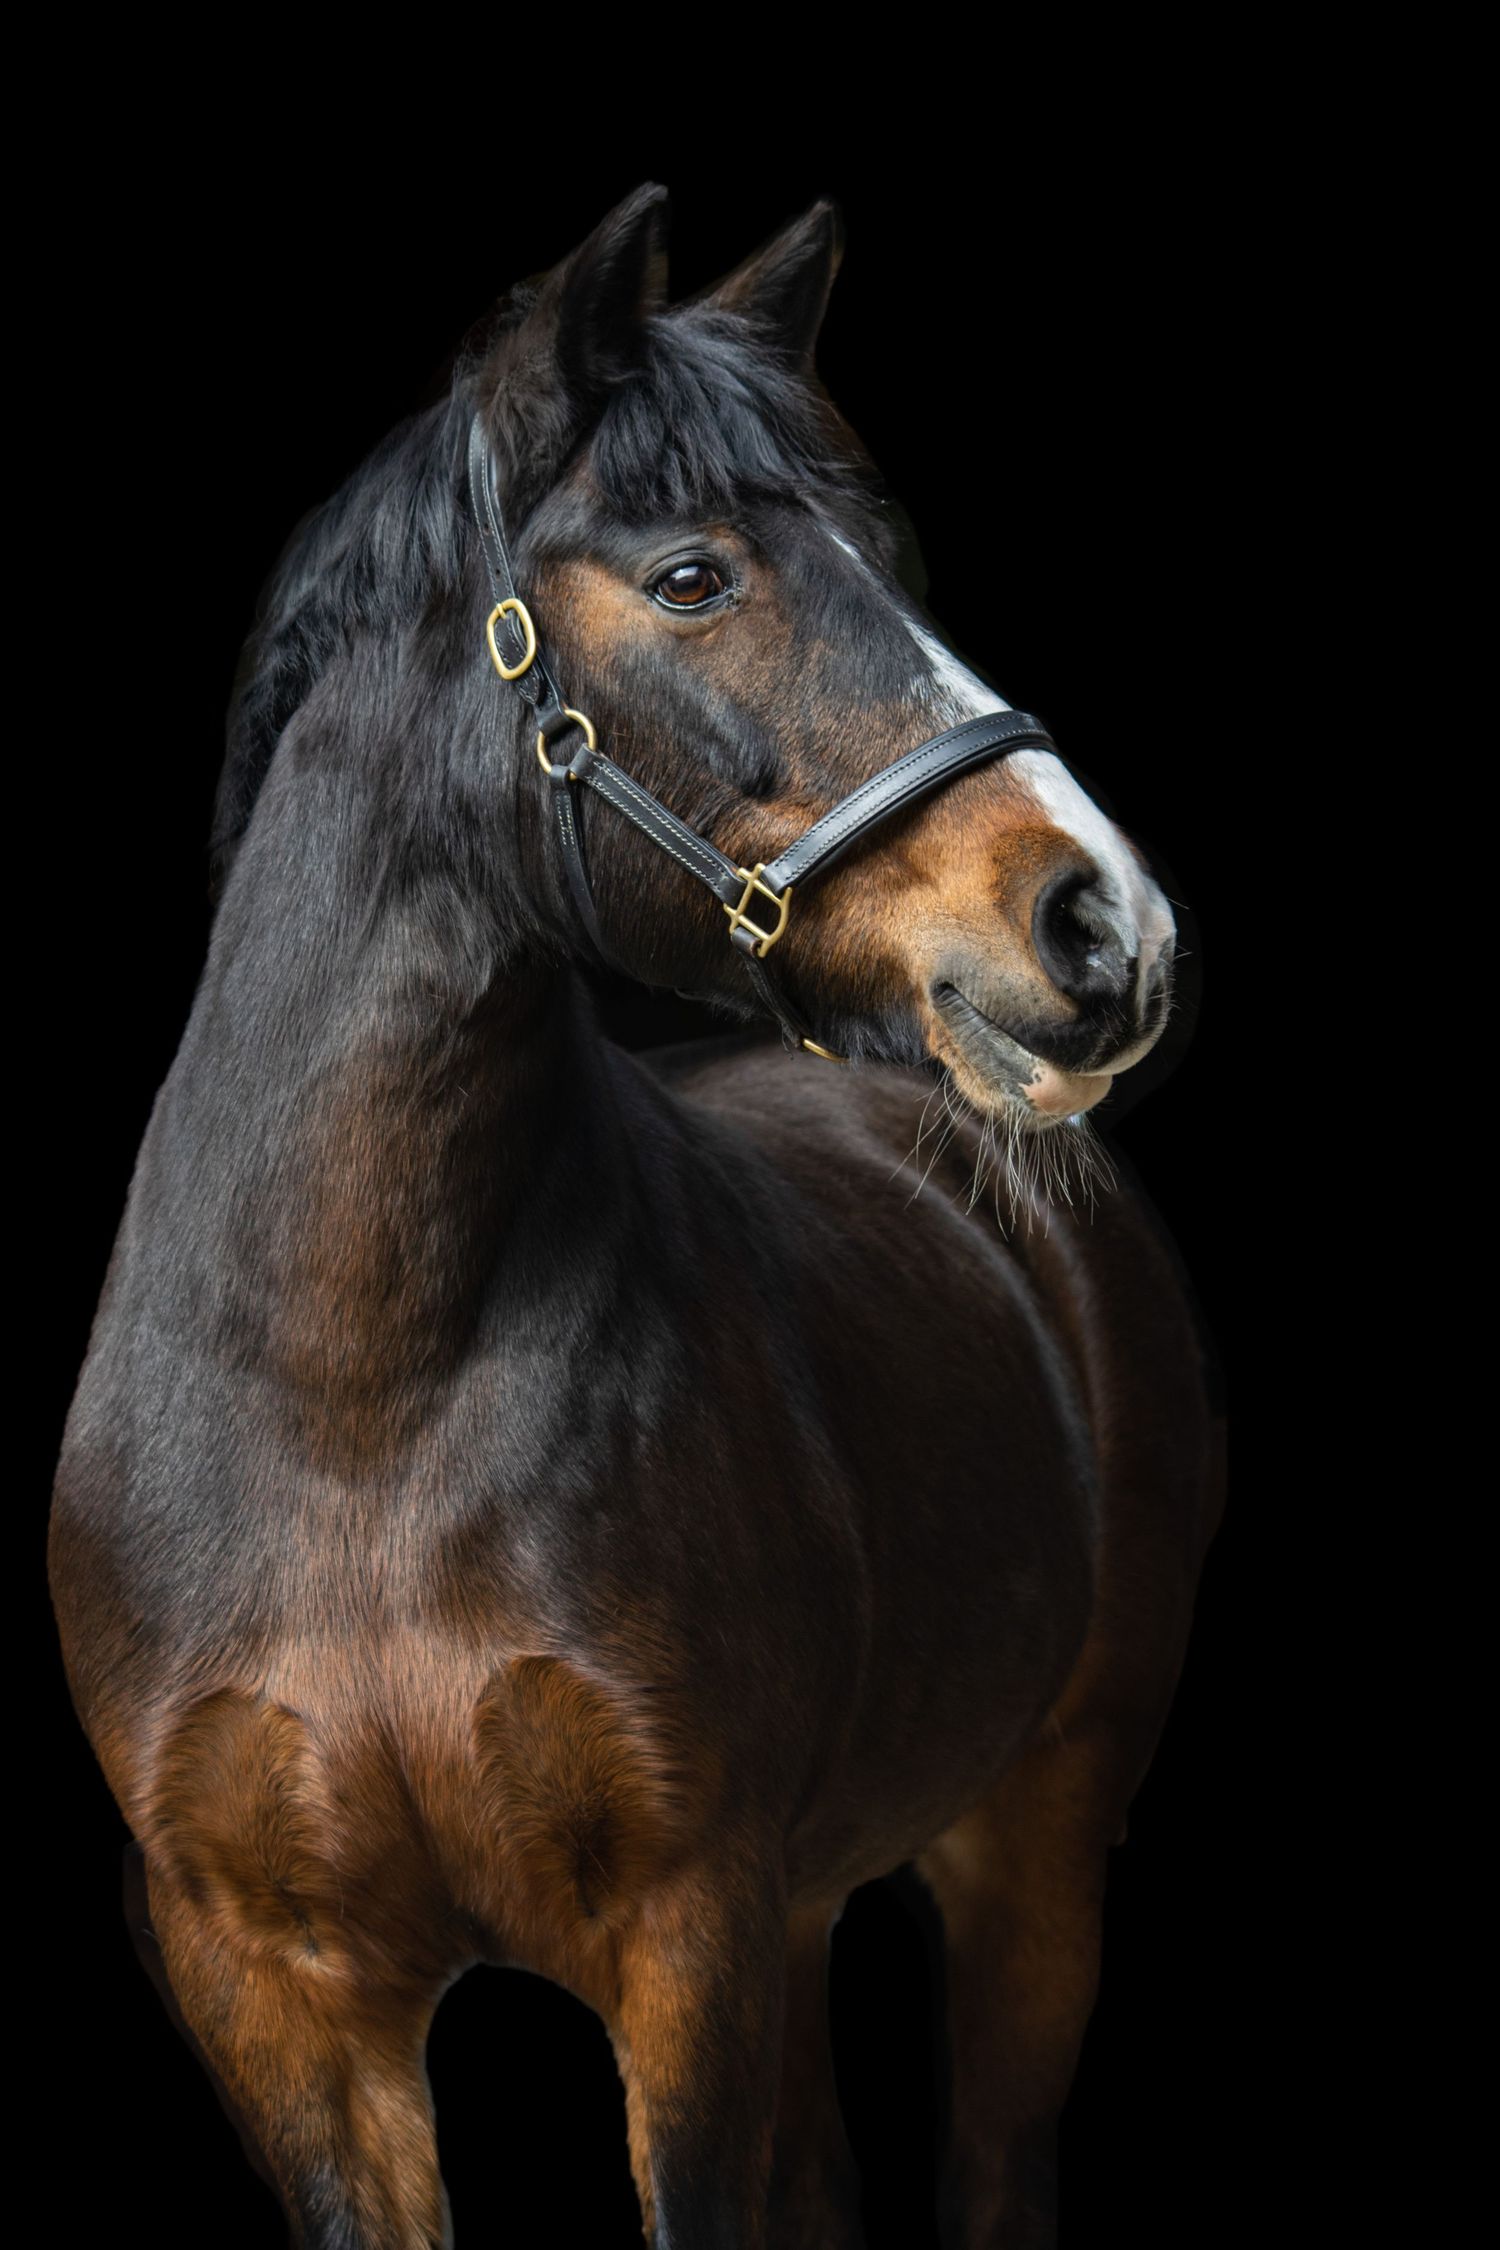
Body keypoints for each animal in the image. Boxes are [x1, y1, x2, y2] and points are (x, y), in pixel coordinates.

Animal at [48, 182, 1224, 2249]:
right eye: (692, 578)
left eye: (893, 561)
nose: (1106, 926)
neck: (351, 1404)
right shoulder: (279, 1999)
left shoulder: (692, 1941)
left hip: (1034, 1847)